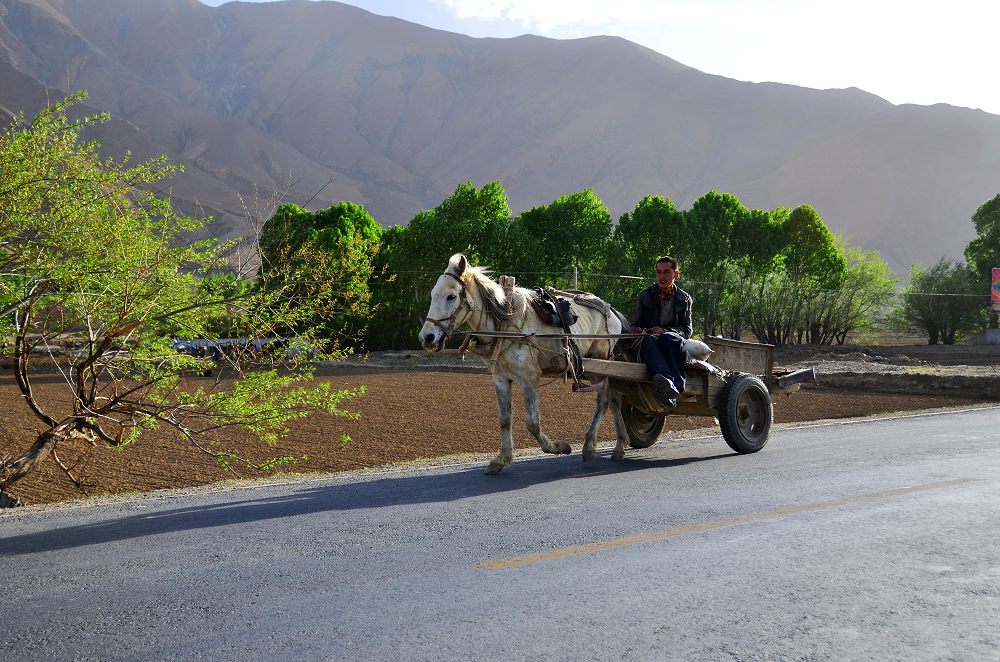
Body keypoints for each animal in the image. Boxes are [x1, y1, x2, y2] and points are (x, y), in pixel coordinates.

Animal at [418, 252, 628, 474]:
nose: (427, 337)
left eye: (451, 296)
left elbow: (532, 423)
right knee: (615, 399)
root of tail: (611, 311)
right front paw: (502, 458)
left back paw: (589, 446)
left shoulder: (529, 378)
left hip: (601, 363)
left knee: (604, 400)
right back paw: (620, 445)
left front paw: (559, 446)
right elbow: (505, 419)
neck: (506, 324)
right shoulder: (500, 378)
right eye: (433, 294)